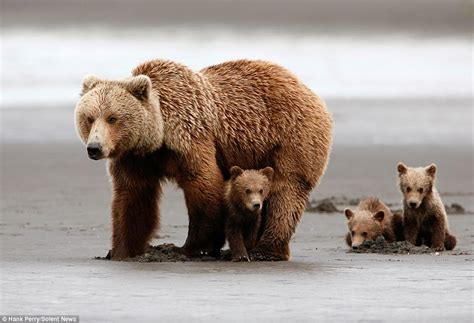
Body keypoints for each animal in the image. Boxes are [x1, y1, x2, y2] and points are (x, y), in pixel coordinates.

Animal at [75, 58, 334, 260]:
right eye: (89, 117)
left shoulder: (190, 137)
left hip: (291, 137)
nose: (95, 148)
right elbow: (133, 196)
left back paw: (266, 250)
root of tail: (310, 91)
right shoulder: (136, 158)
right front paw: (121, 250)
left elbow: (203, 184)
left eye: (112, 117)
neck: (159, 135)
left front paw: (188, 247)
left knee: (286, 191)